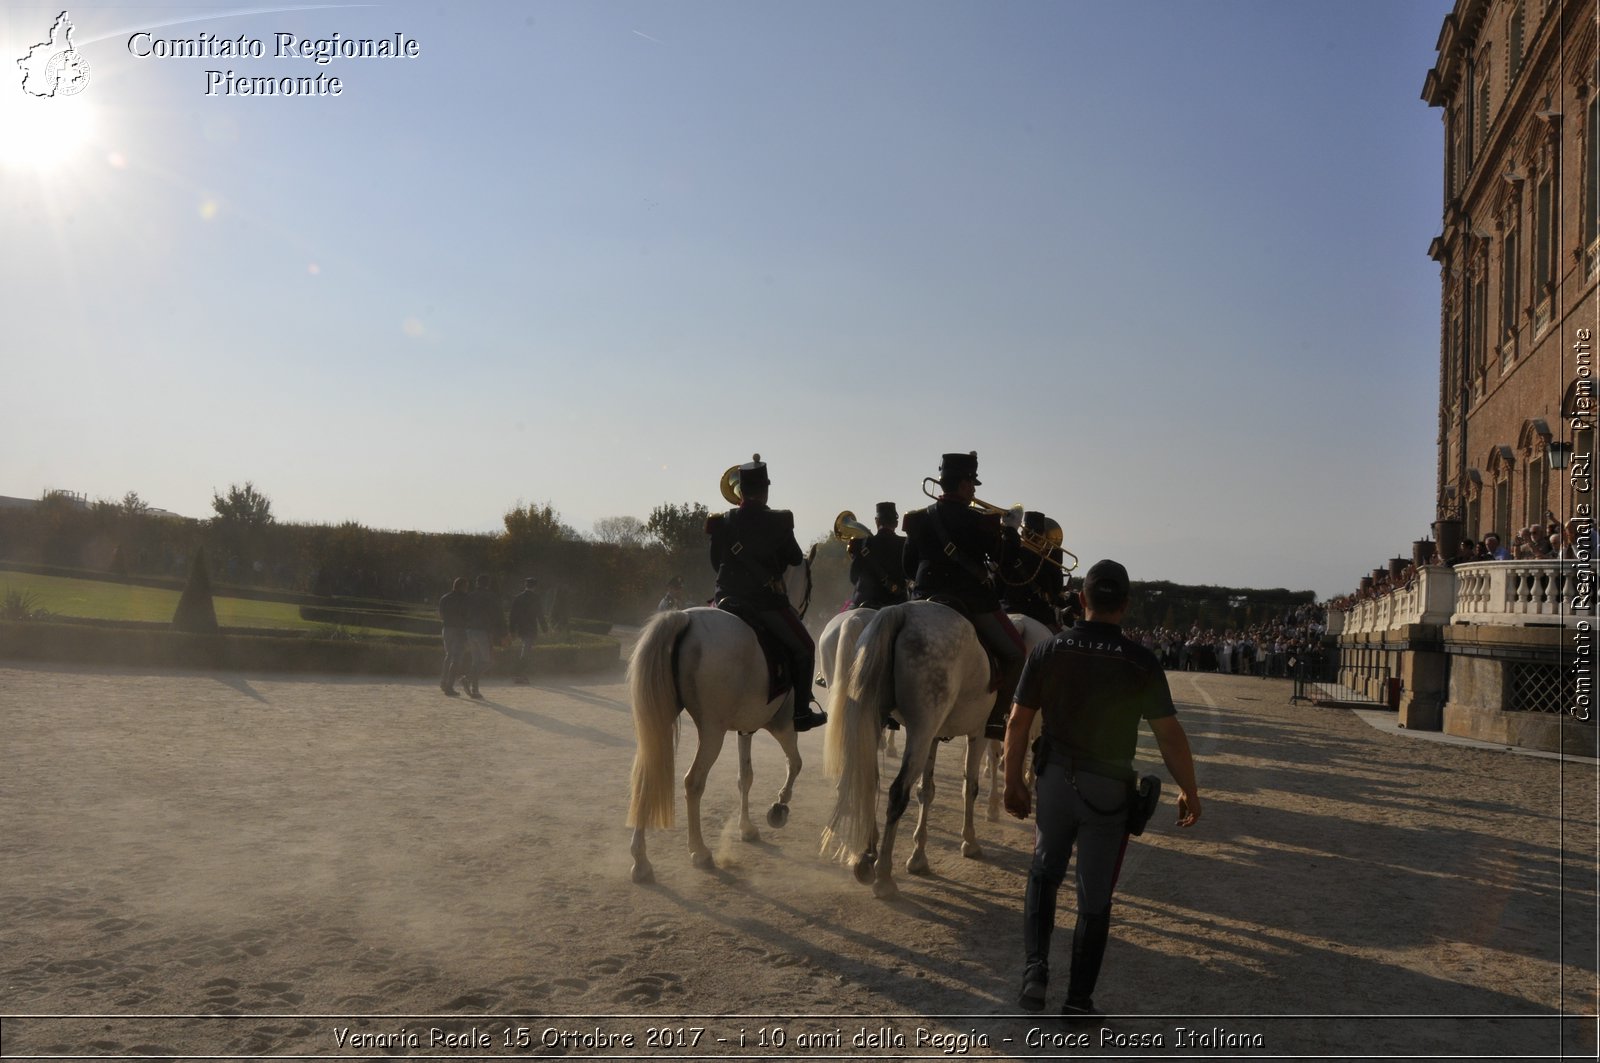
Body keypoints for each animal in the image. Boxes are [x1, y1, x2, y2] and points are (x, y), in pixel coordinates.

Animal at [624, 557, 812, 877]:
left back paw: (641, 860)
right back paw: (699, 851)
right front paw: (779, 807)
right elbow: (795, 764)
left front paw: (747, 828)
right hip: (713, 731)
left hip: (665, 724)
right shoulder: (784, 725)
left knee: (648, 775)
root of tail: (684, 617)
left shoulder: (746, 729)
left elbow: (745, 776)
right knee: (693, 782)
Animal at [825, 601, 1049, 890]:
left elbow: (926, 791)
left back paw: (866, 856)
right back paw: (883, 875)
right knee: (898, 792)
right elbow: (970, 786)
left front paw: (918, 856)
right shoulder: (977, 732)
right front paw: (970, 841)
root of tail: (902, 611)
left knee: (867, 778)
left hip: (877, 720)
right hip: (921, 727)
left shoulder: (934, 736)